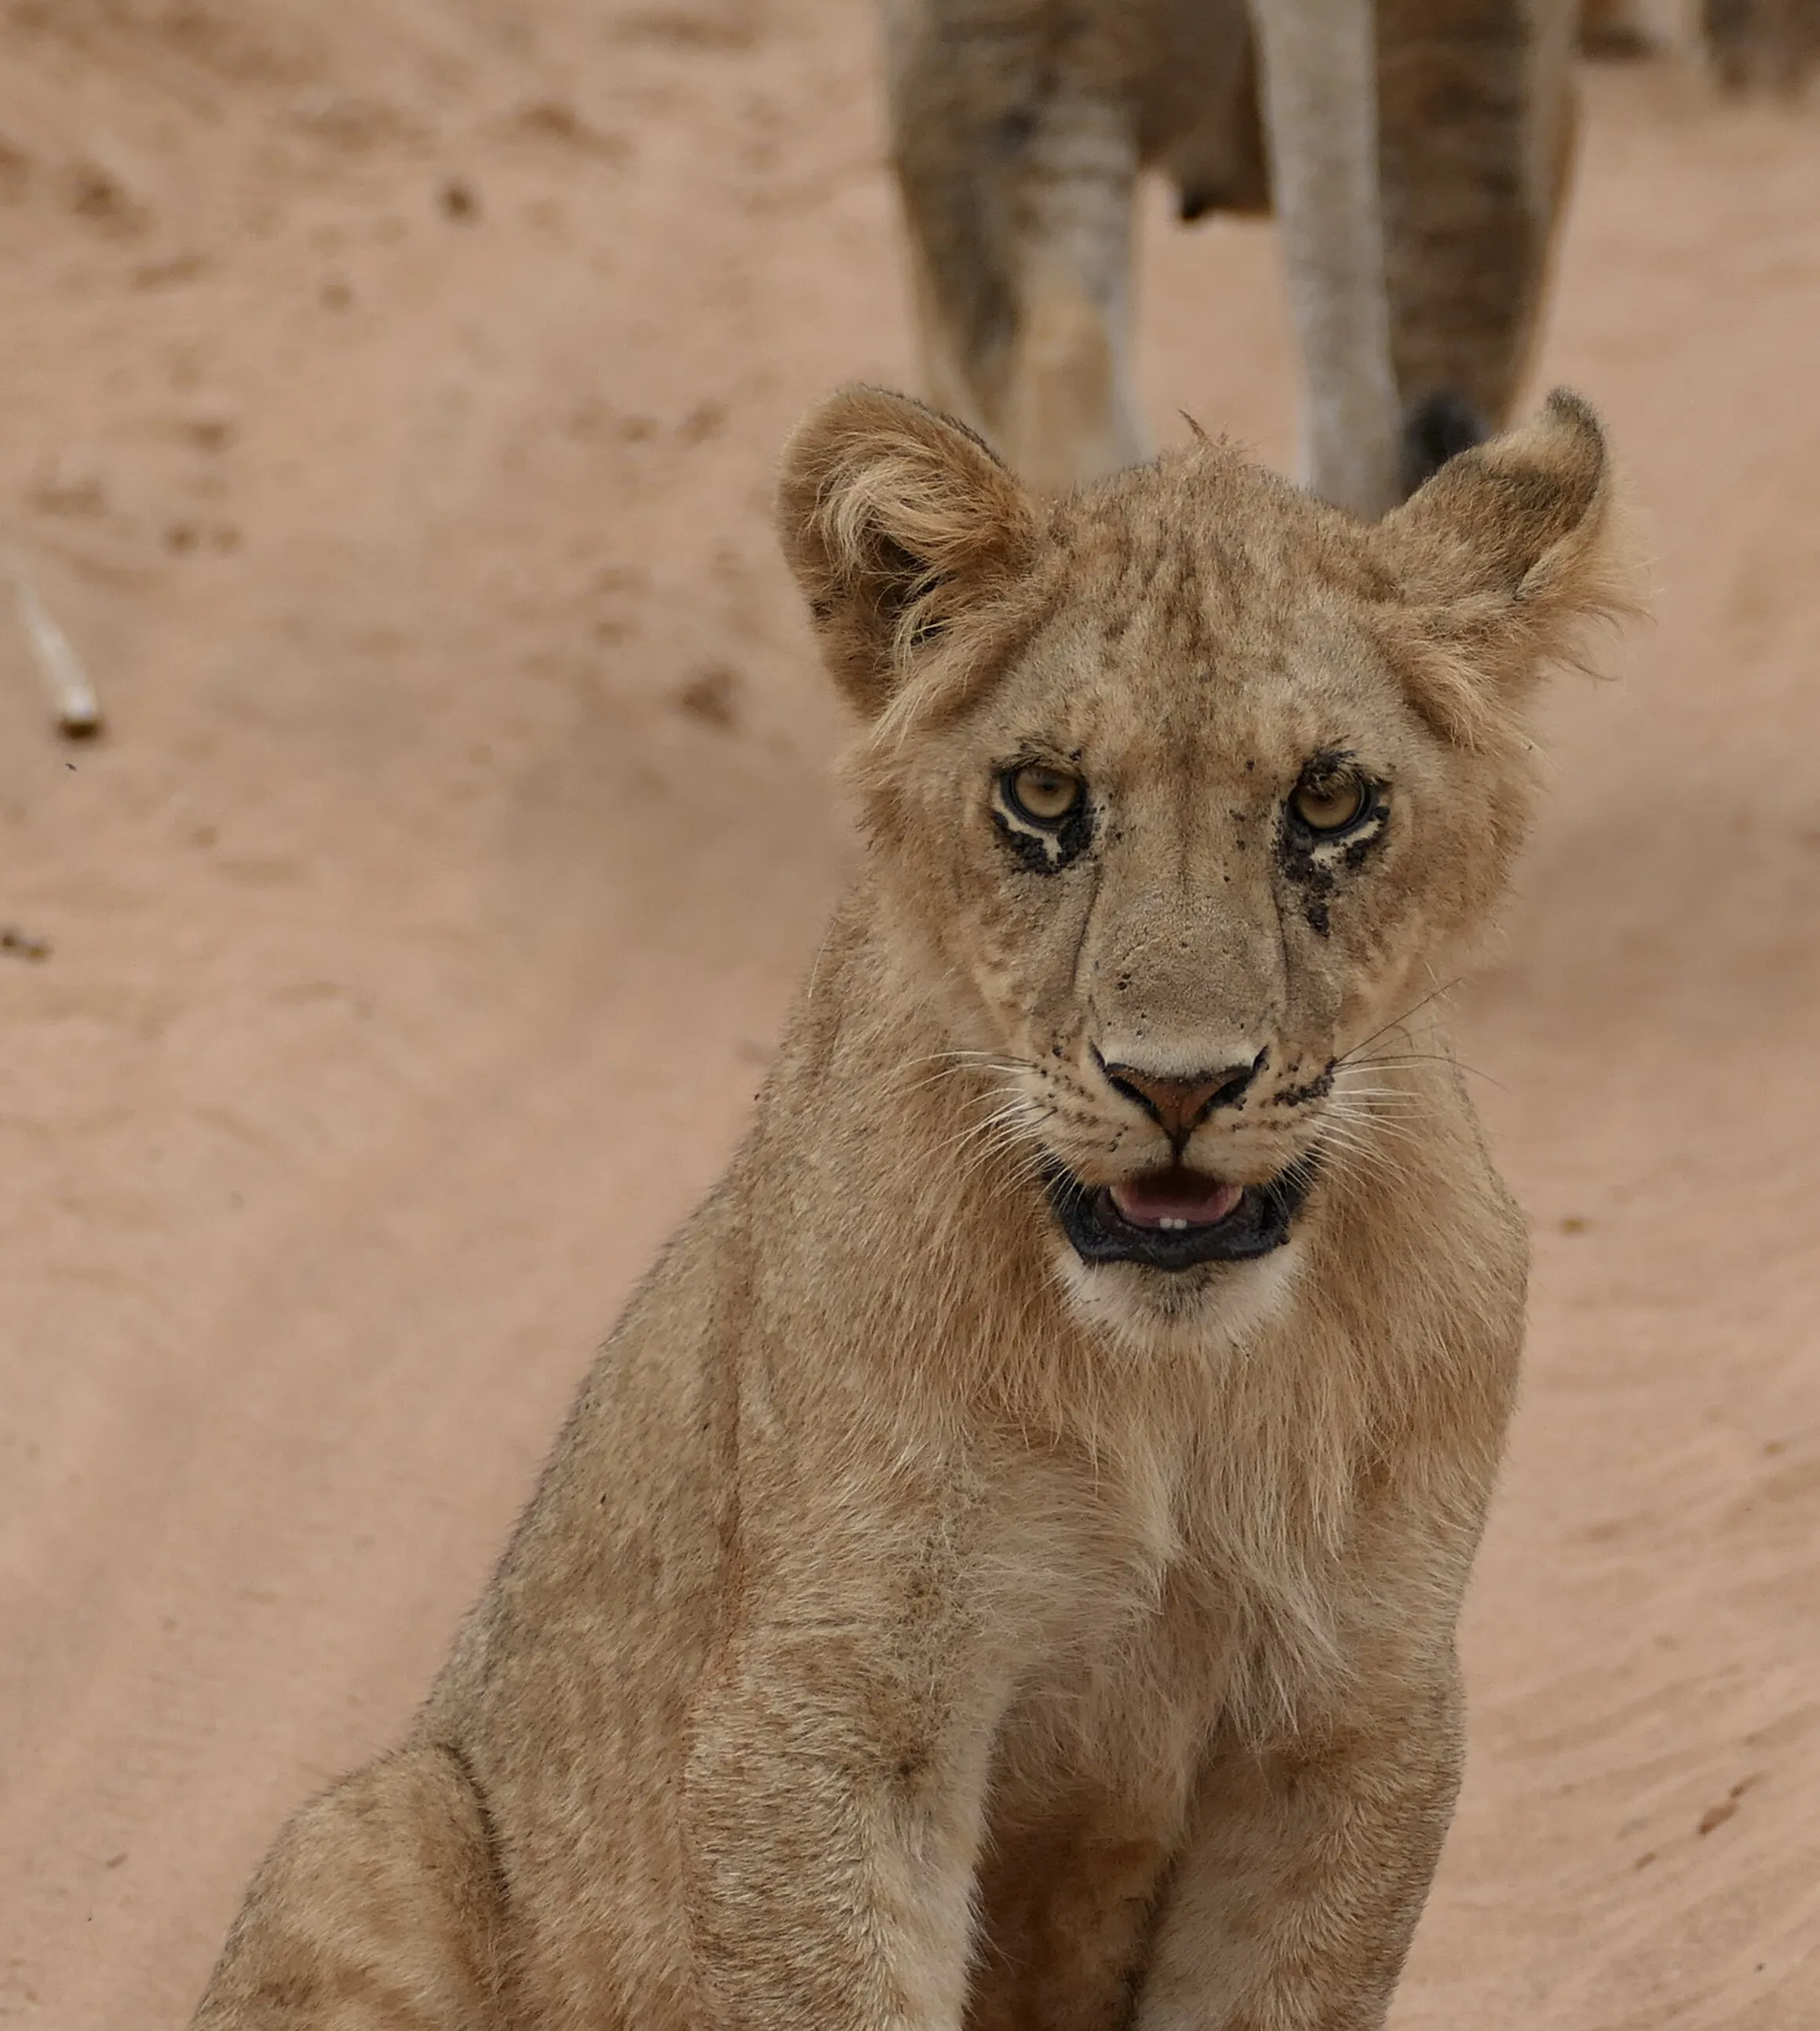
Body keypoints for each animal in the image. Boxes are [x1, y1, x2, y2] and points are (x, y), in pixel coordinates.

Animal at [188, 384, 1632, 2030]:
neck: (1170, 1385)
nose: (1178, 1084)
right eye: (1043, 794)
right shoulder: (833, 1702)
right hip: (370, 1825)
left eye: (1326, 797)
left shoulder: (1348, 1715)